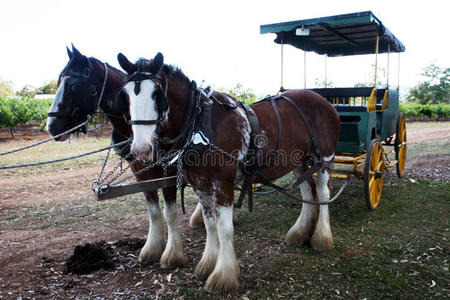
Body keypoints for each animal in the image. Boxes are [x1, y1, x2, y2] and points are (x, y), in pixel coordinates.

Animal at [45, 45, 204, 270]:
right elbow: (153, 209)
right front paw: (152, 248)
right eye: (59, 81)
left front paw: (172, 254)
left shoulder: (169, 171)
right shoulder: (139, 169)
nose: (51, 127)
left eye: (73, 85)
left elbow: (170, 211)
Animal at [118, 52, 340, 294]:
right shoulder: (200, 185)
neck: (202, 124)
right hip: (298, 161)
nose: (140, 150)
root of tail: (324, 101)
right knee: (308, 191)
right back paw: (300, 232)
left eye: (157, 95)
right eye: (125, 95)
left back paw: (322, 237)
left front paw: (223, 276)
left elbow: (224, 228)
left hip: (323, 159)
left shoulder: (223, 184)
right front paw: (207, 264)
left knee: (324, 192)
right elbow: (210, 224)